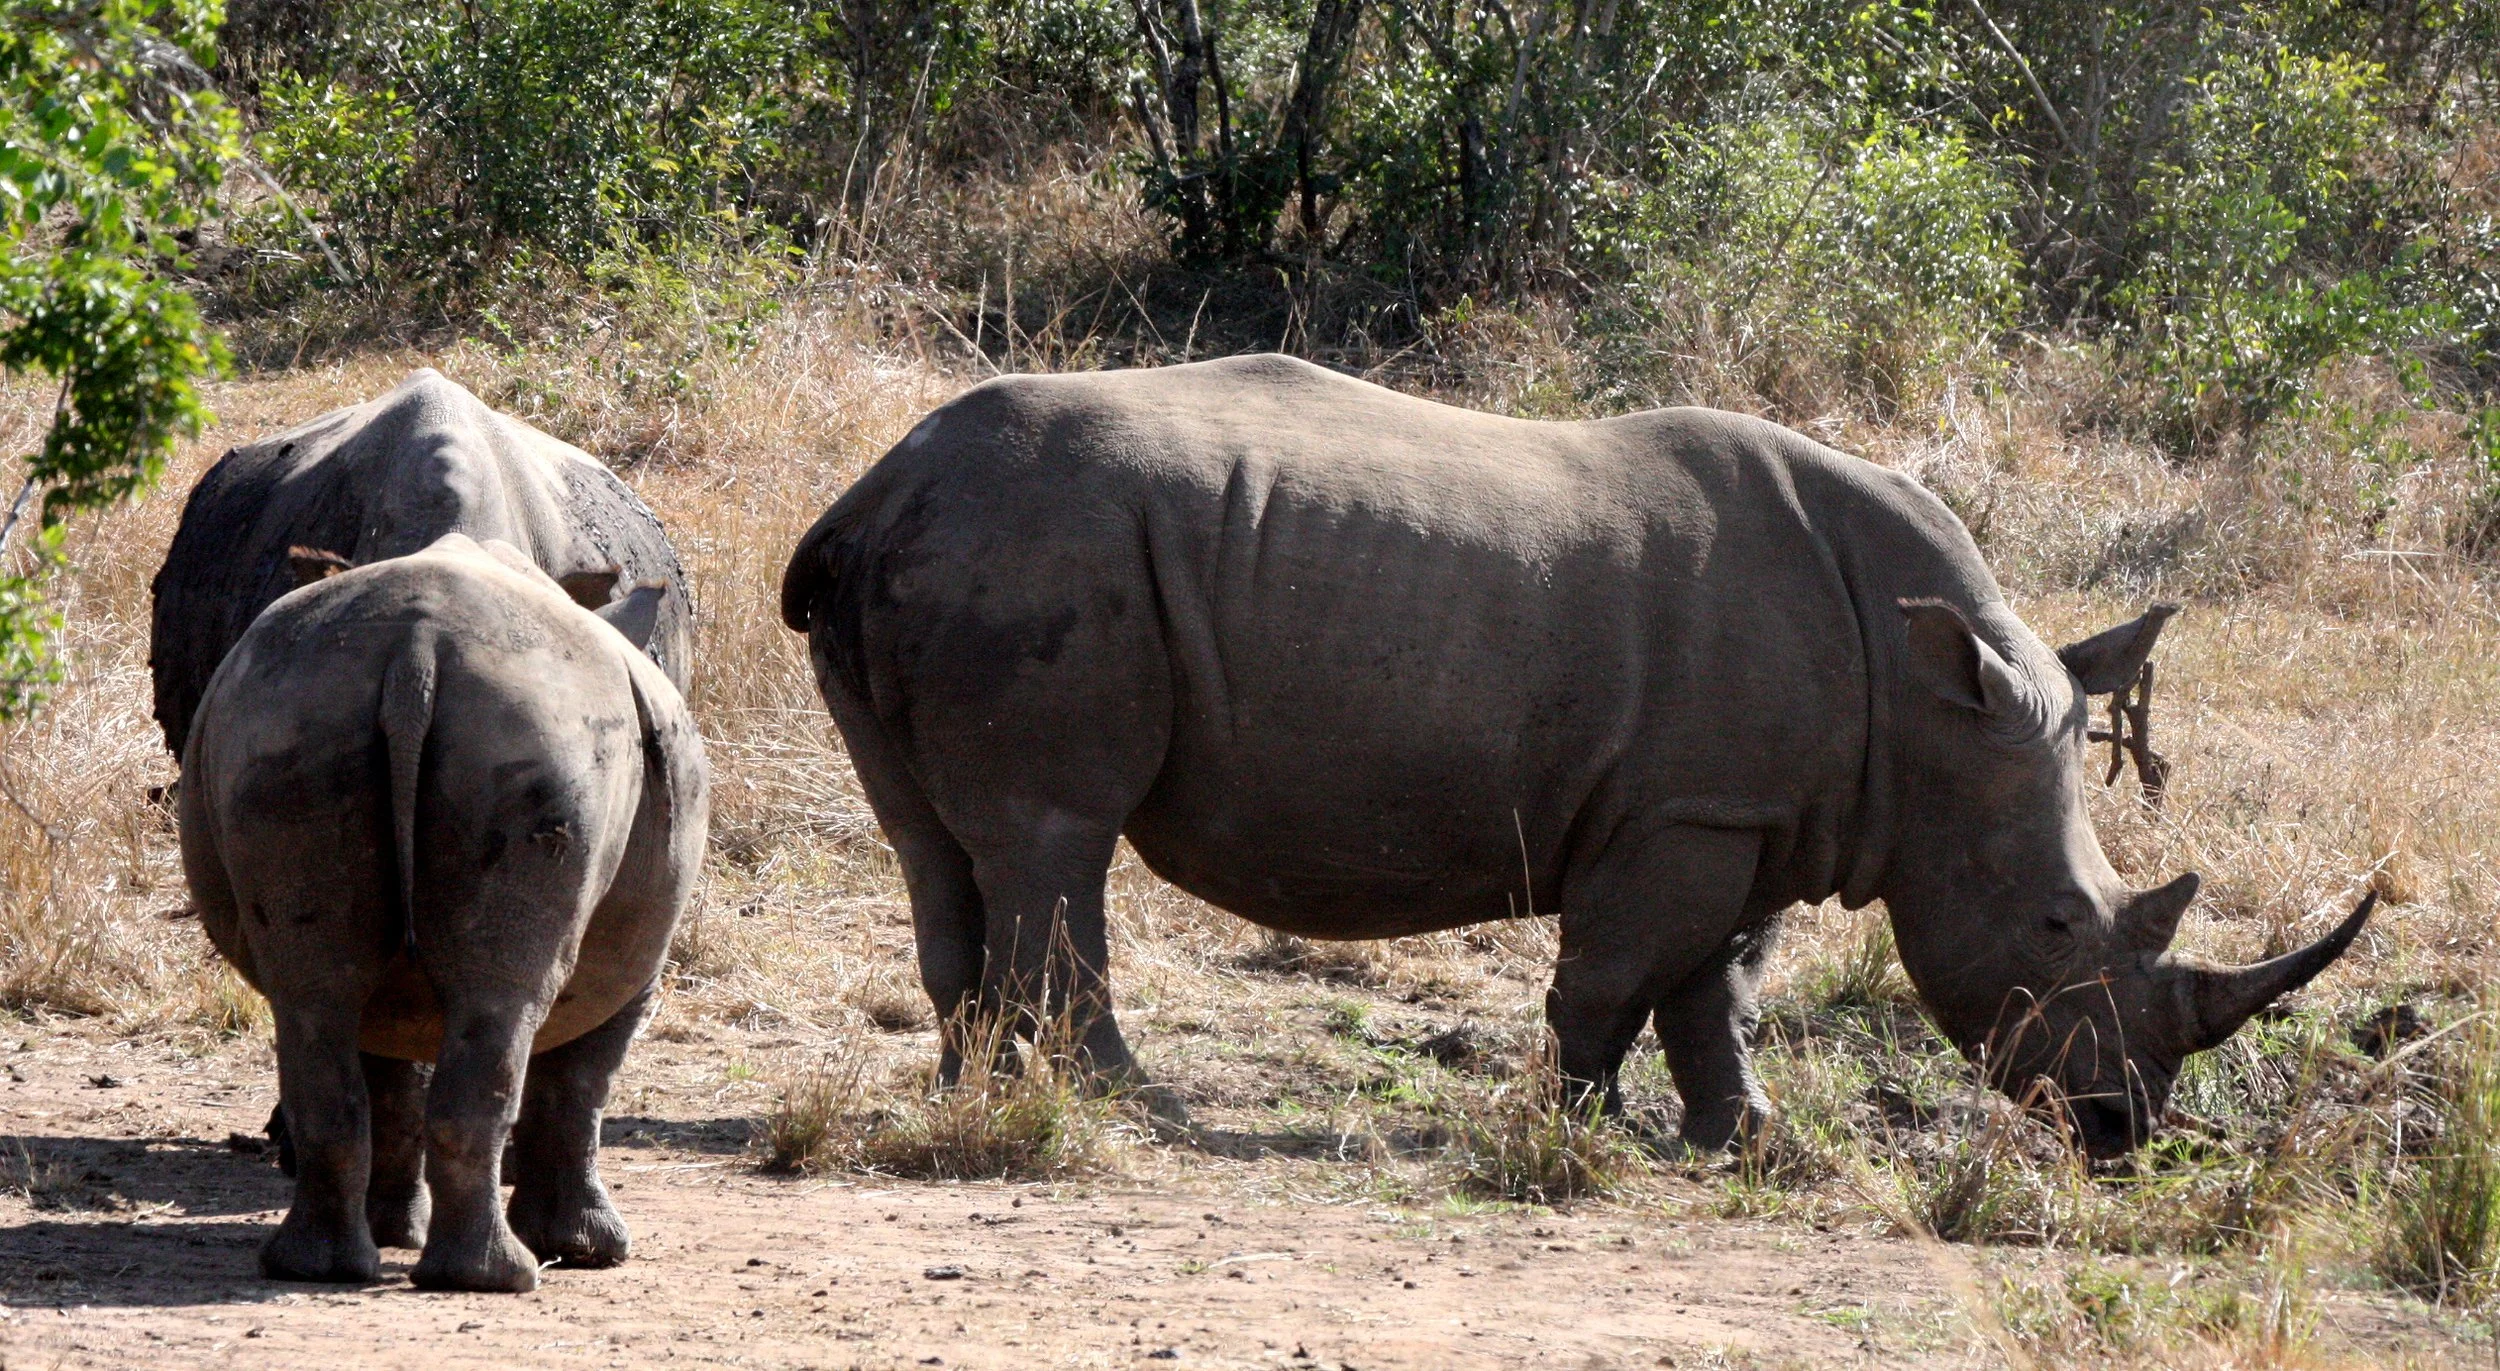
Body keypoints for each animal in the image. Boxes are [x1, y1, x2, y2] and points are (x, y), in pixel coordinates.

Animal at [181, 533, 709, 1290]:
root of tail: (416, 654)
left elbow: (394, 1077)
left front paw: (395, 1231)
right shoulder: (641, 962)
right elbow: (582, 1083)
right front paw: (593, 1250)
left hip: (291, 719)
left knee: (315, 997)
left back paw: (320, 1268)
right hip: (536, 736)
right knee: (505, 1002)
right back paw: (500, 1277)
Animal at [778, 354, 2373, 1157]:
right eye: (2054, 926)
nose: (2123, 1128)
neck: (1936, 716)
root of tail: (871, 491)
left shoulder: (1756, 813)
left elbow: (1715, 987)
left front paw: (1749, 1142)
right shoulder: (1687, 814)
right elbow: (1622, 970)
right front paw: (1580, 1127)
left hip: (957, 553)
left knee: (940, 843)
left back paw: (974, 1092)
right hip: (1039, 548)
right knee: (1056, 834)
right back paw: (1124, 1103)